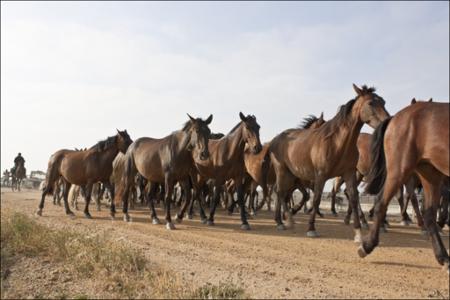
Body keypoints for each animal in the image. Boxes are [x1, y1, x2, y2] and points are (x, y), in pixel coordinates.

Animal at [268, 85, 388, 241]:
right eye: (371, 103)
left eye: (383, 102)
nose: (387, 121)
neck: (337, 143)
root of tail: (275, 140)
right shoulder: (320, 176)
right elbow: (316, 199)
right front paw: (311, 228)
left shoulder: (349, 173)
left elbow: (354, 198)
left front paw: (358, 233)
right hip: (282, 171)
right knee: (280, 192)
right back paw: (285, 220)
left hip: (290, 174)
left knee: (281, 192)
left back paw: (282, 219)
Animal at [362, 101, 450, 272]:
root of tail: (395, 117)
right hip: (400, 169)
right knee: (382, 202)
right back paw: (367, 245)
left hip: (430, 173)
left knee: (429, 213)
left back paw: (443, 257)